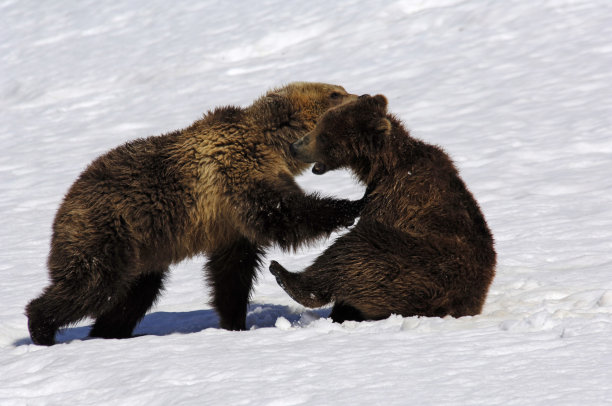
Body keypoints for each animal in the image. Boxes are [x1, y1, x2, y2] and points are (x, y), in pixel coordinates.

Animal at [26, 82, 364, 346]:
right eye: (335, 93)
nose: (361, 95)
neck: (273, 144)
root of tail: (63, 205)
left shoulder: (229, 224)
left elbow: (231, 272)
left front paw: (234, 321)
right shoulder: (237, 170)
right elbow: (280, 214)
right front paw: (352, 204)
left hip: (143, 251)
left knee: (133, 294)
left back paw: (109, 332)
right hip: (108, 230)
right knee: (92, 285)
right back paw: (41, 327)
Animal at [268, 93, 498, 322]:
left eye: (323, 135)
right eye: (319, 125)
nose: (294, 147)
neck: (381, 167)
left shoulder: (396, 197)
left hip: (417, 267)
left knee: (354, 249)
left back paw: (286, 276)